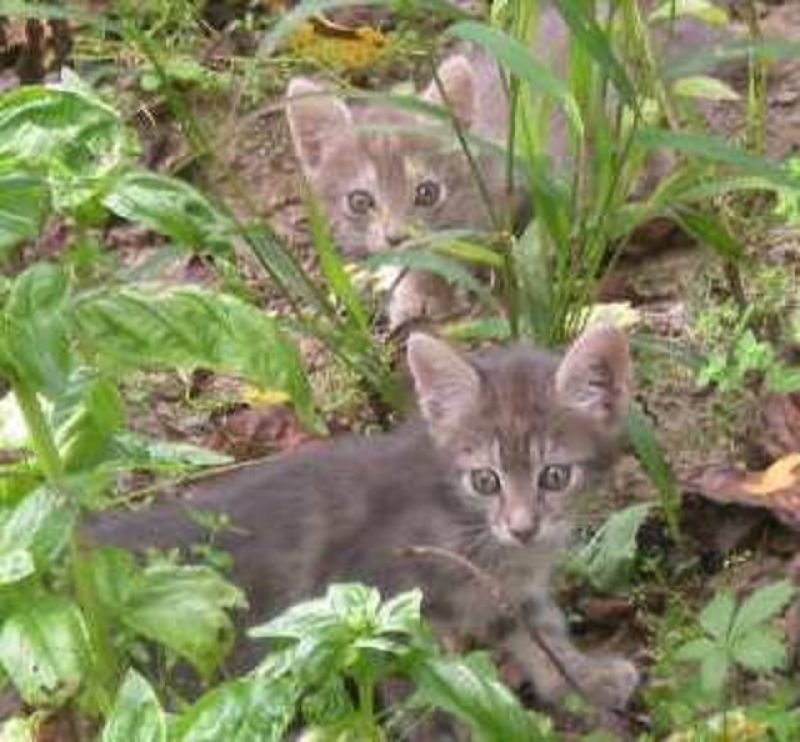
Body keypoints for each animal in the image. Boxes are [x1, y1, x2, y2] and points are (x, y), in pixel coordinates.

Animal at [87, 328, 636, 712]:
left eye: (554, 477)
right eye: (485, 481)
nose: (523, 528)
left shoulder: (504, 590)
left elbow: (540, 631)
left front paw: (583, 679)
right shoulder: (379, 606)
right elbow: (423, 697)